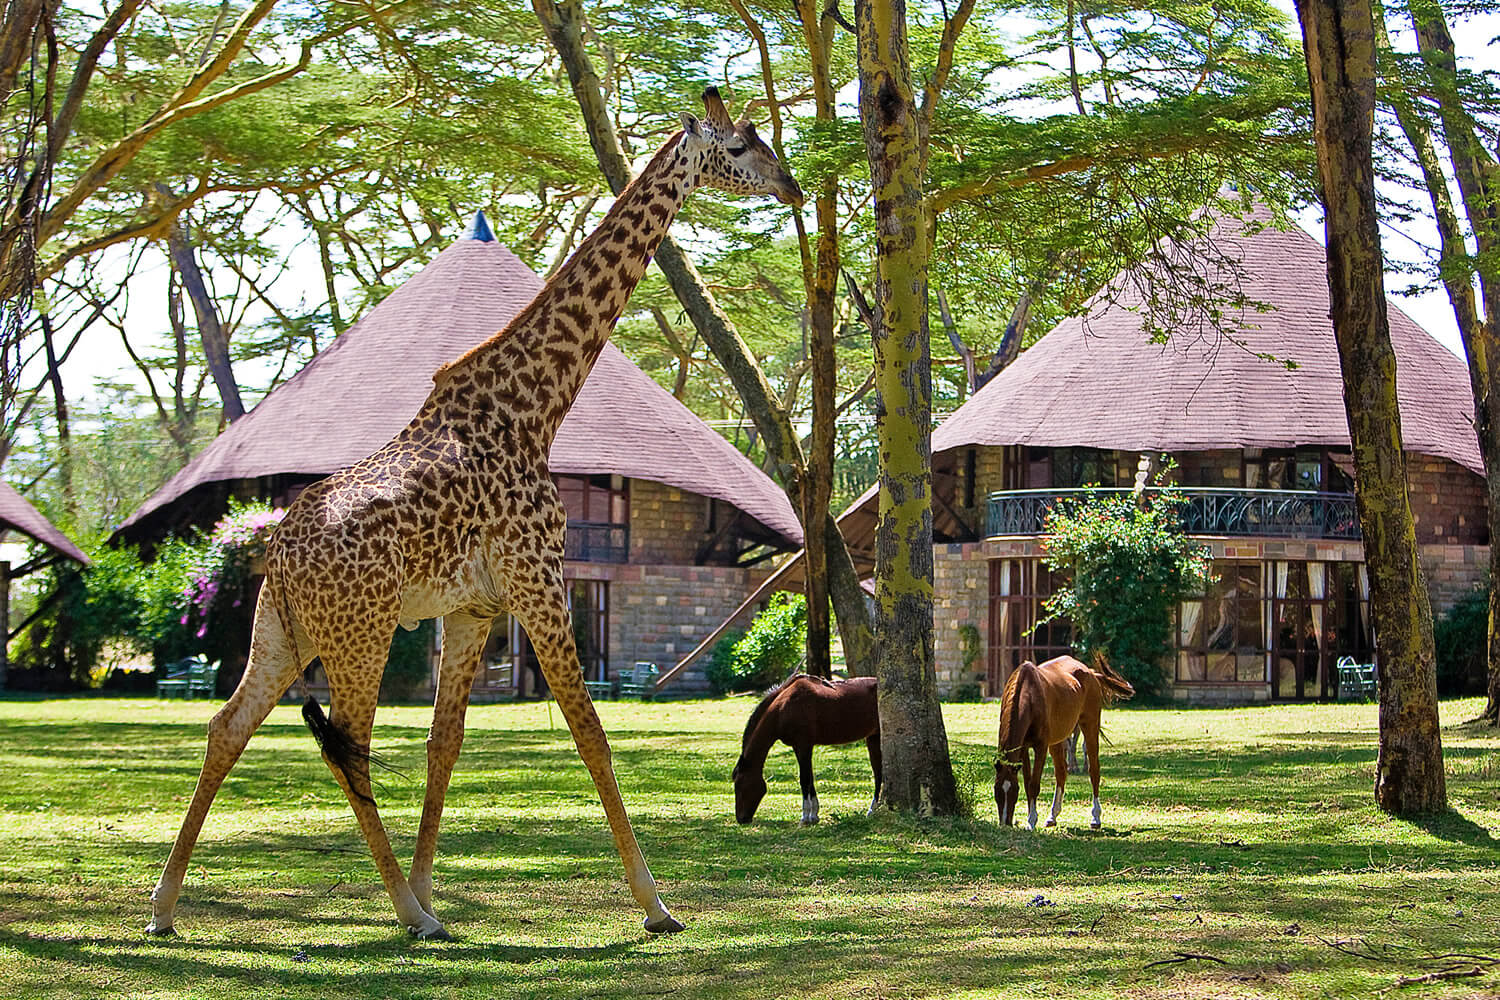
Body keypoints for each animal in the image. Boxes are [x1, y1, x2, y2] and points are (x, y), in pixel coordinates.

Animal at [146, 89, 804, 941]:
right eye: (745, 144)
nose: (793, 187)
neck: (536, 408)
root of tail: (279, 553)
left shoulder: (474, 607)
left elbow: (444, 743)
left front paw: (431, 886)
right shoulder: (538, 581)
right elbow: (591, 733)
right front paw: (656, 905)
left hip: (282, 630)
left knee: (230, 726)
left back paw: (165, 906)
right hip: (360, 635)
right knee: (347, 746)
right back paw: (405, 914)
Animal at [729, 677, 876, 827]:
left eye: (739, 785)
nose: (741, 819)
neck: (782, 709)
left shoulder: (803, 746)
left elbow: (804, 779)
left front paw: (805, 817)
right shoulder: (801, 747)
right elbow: (810, 778)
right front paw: (814, 815)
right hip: (873, 737)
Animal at [990, 653, 1128, 833]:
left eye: (1013, 790)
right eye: (996, 790)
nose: (1005, 823)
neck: (1029, 693)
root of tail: (1091, 673)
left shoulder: (1041, 747)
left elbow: (1034, 784)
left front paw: (1031, 821)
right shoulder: (1024, 748)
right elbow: (1028, 783)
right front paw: (1030, 817)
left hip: (1089, 726)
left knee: (1094, 770)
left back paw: (1095, 817)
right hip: (1058, 739)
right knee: (1062, 772)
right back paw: (1052, 816)